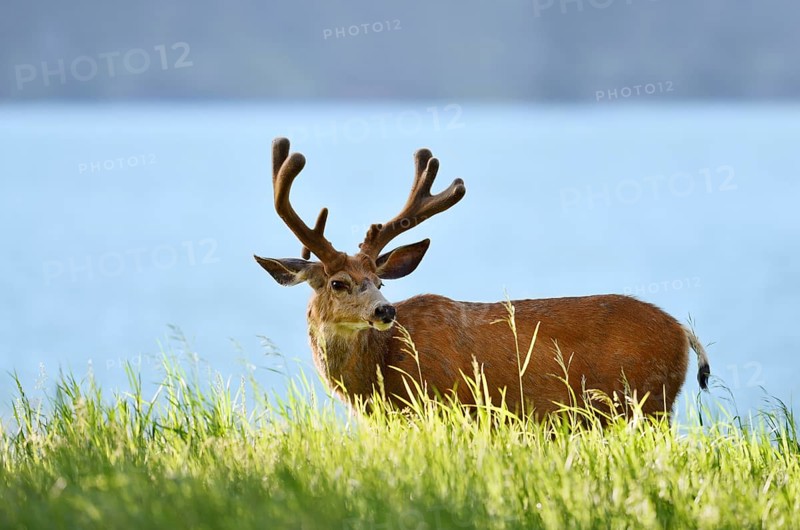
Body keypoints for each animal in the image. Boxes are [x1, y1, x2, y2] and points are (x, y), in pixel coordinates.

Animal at [255, 137, 711, 420]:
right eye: (338, 283)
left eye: (380, 283)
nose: (385, 311)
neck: (381, 372)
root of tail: (681, 332)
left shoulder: (448, 407)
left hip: (646, 402)